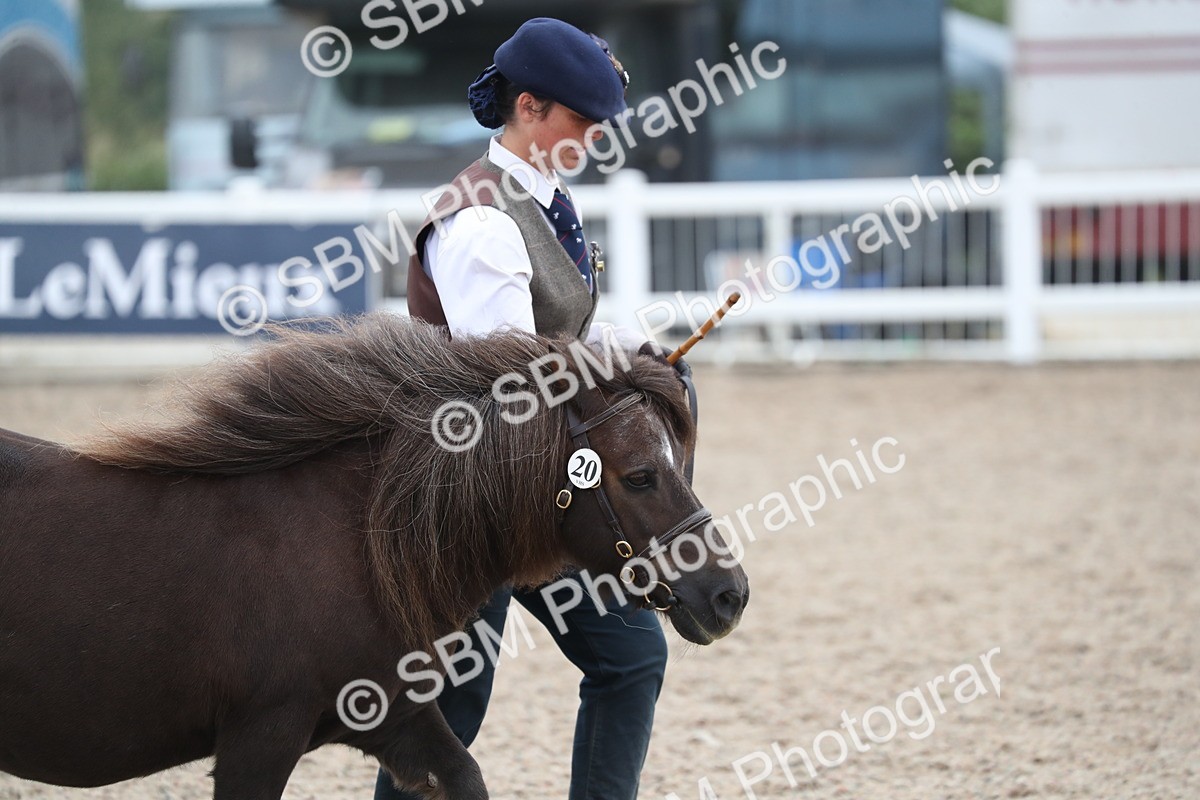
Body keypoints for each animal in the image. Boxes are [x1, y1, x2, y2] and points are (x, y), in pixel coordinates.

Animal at [0, 313, 749, 800]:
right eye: (640, 475)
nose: (730, 594)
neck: (347, 537)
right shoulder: (258, 739)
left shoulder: (392, 715)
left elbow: (465, 776)